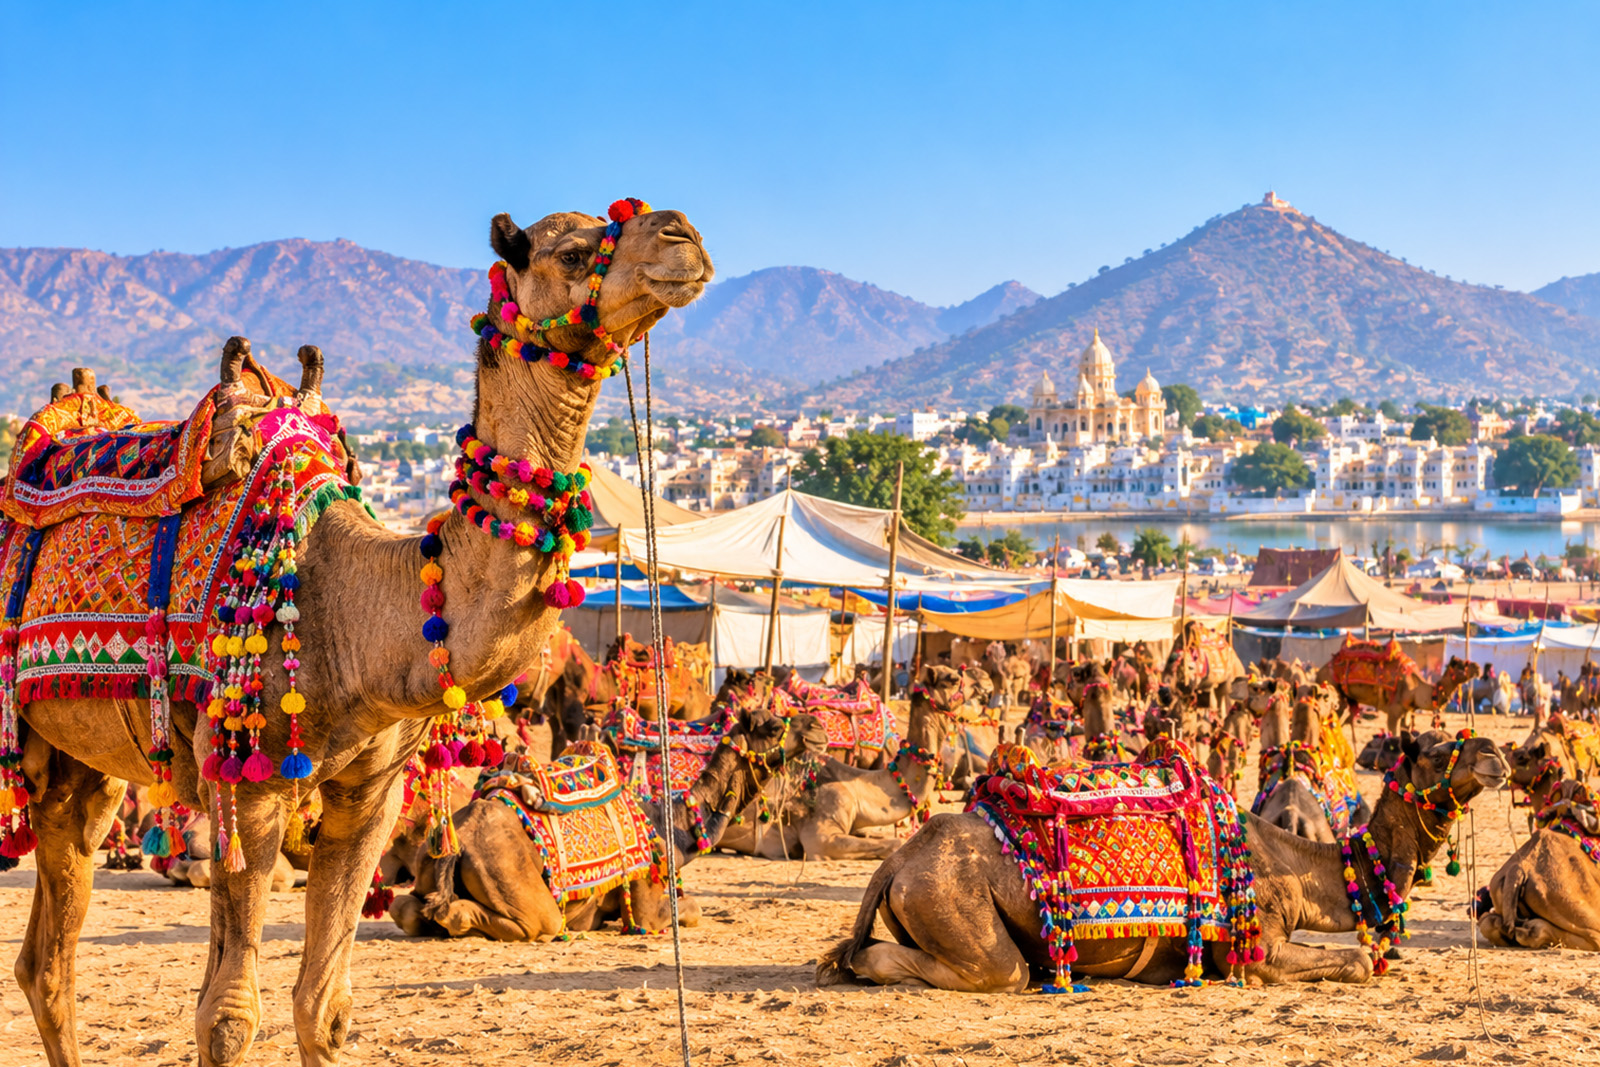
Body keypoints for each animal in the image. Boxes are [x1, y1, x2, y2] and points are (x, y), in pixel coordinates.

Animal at [10, 203, 712, 1066]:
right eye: (573, 251)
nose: (682, 235)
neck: (361, 612)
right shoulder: (251, 785)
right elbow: (229, 1014)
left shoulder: (370, 794)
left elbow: (324, 1004)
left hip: (82, 768)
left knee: (47, 956)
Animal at [391, 707, 823, 940]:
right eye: (772, 726)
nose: (816, 725)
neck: (672, 823)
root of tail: (459, 840)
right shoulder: (648, 902)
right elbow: (691, 910)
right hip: (521, 888)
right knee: (520, 921)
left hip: (428, 864)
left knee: (406, 908)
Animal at [816, 733, 1505, 990]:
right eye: (1434, 750)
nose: (1496, 752)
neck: (1298, 868)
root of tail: (897, 862)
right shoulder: (1255, 946)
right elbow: (1359, 961)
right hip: (950, 899)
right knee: (997, 970)